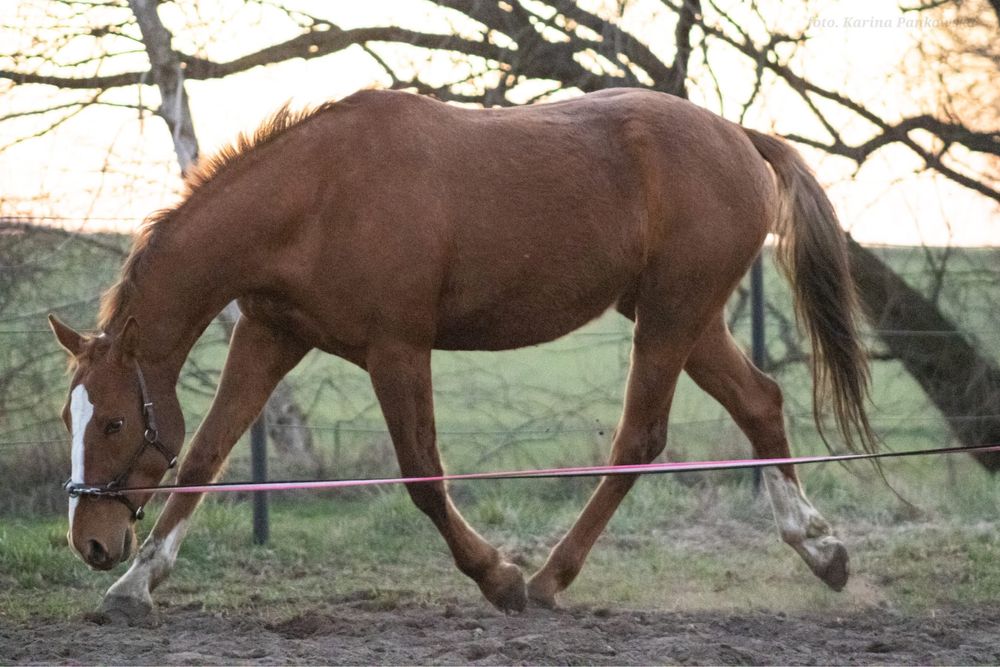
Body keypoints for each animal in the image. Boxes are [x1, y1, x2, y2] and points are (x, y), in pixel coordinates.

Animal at [50, 90, 872, 620]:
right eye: (69, 418)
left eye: (115, 422)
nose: (90, 542)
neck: (316, 197)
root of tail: (741, 137)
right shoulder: (270, 336)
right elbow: (204, 456)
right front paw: (134, 587)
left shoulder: (397, 349)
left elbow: (423, 477)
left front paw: (498, 577)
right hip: (685, 320)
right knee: (760, 401)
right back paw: (821, 550)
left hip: (670, 320)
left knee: (639, 439)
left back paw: (547, 580)